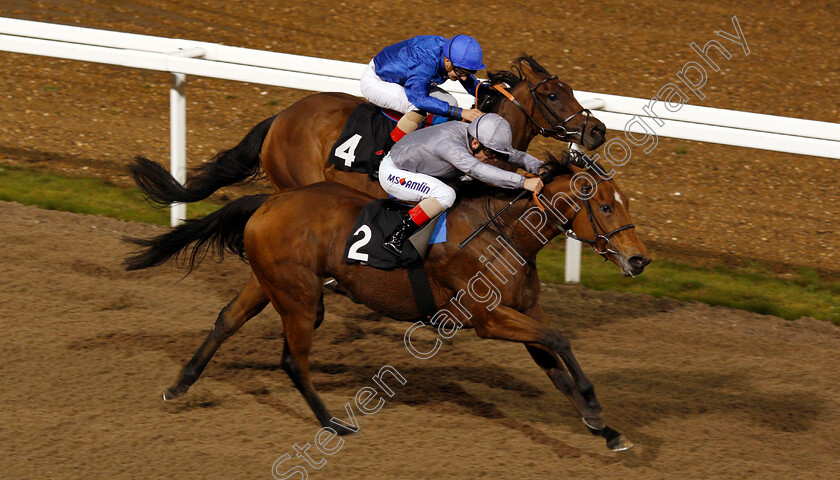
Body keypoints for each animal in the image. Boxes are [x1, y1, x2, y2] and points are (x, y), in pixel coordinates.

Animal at [123, 155, 648, 454]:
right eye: (605, 206)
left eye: (624, 203)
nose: (639, 259)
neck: (502, 233)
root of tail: (270, 202)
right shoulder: (487, 318)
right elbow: (560, 339)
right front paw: (596, 410)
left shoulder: (524, 313)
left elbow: (557, 366)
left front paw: (605, 428)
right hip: (299, 295)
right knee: (293, 360)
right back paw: (333, 424)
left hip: (270, 282)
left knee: (227, 320)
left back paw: (180, 384)